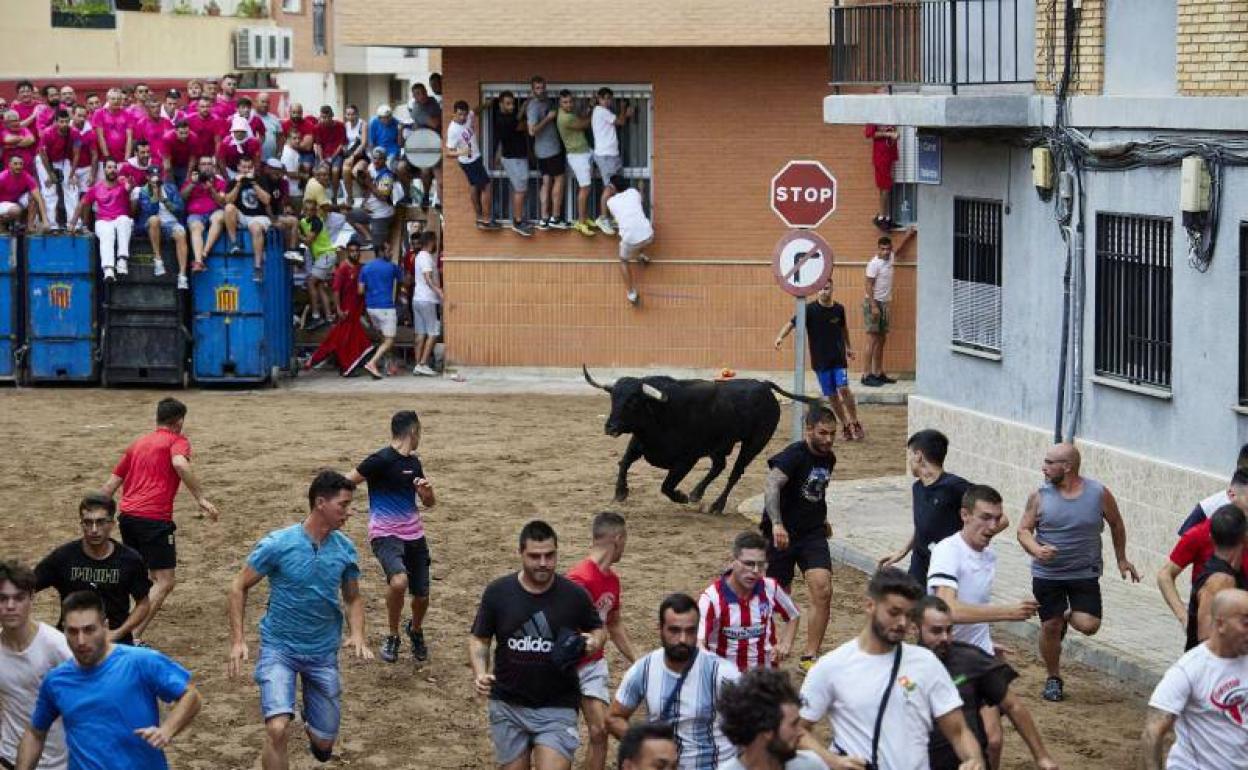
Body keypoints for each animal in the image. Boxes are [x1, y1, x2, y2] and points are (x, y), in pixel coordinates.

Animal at [581, 366, 823, 516]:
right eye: (613, 398)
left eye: (632, 401)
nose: (610, 427)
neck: (661, 412)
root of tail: (764, 386)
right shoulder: (639, 443)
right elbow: (624, 463)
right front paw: (620, 492)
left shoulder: (687, 460)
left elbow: (666, 486)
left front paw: (681, 496)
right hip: (721, 445)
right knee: (719, 466)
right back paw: (697, 493)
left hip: (754, 443)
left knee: (735, 472)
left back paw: (716, 505)